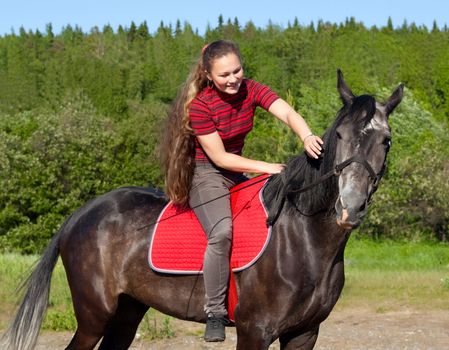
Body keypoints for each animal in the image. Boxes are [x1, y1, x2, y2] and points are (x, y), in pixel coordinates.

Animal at [1, 69, 404, 348]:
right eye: (340, 136)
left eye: (386, 140)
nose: (349, 206)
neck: (302, 238)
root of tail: (80, 216)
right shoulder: (255, 331)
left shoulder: (305, 333)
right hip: (93, 316)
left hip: (127, 311)